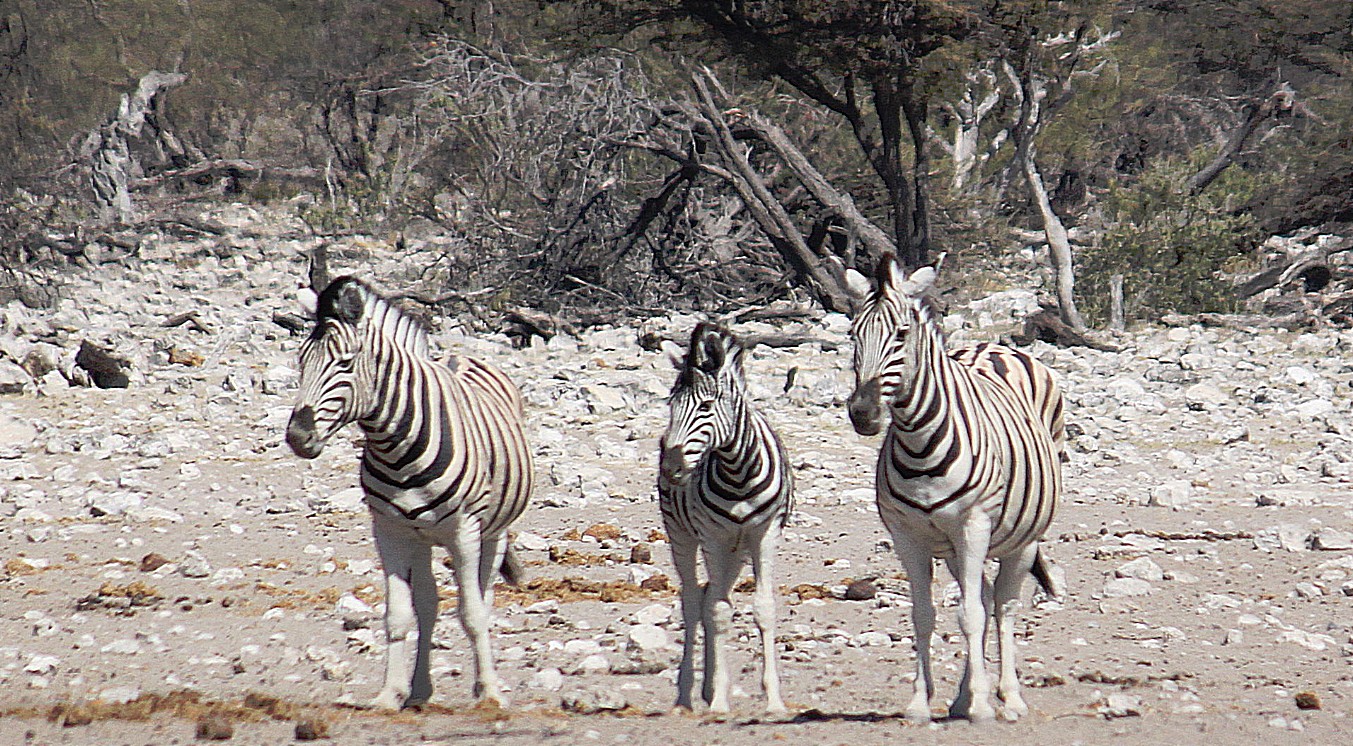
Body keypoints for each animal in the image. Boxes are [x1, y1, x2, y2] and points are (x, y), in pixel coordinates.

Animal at [282, 276, 530, 714]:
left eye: (345, 364)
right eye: (301, 361)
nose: (298, 437)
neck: (396, 446)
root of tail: (460, 356)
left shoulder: (465, 531)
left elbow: (472, 614)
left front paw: (490, 693)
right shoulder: (389, 530)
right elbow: (398, 615)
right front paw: (388, 694)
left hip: (493, 532)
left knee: (483, 598)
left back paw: (483, 684)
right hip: (422, 538)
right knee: (428, 606)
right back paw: (418, 691)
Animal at [660, 322, 795, 720]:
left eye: (705, 406)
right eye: (670, 406)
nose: (672, 468)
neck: (738, 473)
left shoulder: (764, 534)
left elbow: (763, 609)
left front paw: (774, 700)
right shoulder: (712, 537)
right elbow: (719, 613)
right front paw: (720, 700)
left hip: (736, 549)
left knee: (707, 597)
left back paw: (705, 690)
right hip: (683, 535)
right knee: (694, 602)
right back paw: (687, 696)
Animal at [844, 257, 1066, 725]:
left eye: (901, 334)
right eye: (853, 333)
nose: (863, 414)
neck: (918, 442)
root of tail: (993, 346)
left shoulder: (973, 525)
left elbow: (972, 616)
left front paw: (983, 706)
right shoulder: (908, 536)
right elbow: (924, 615)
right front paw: (920, 703)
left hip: (1022, 539)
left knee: (1003, 605)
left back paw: (1008, 697)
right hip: (952, 548)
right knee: (981, 596)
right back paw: (964, 697)